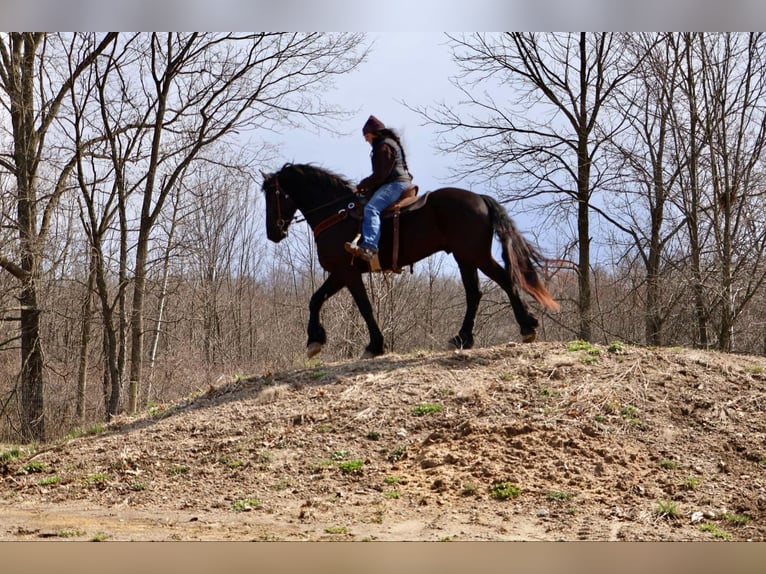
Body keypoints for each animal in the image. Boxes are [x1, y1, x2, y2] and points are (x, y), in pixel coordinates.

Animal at [261, 163, 559, 359]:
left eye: (272, 195)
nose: (273, 233)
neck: (337, 212)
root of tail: (480, 200)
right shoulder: (341, 274)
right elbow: (317, 299)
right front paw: (315, 340)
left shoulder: (347, 273)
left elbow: (361, 307)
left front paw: (374, 345)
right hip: (466, 258)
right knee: (475, 293)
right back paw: (464, 338)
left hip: (475, 255)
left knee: (503, 281)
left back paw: (525, 326)